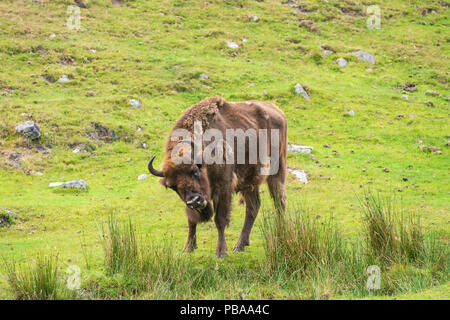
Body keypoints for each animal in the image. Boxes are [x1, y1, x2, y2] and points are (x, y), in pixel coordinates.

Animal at [149, 97, 286, 258]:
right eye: (172, 186)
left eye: (195, 171)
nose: (194, 201)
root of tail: (278, 111)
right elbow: (191, 220)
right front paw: (188, 248)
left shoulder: (224, 187)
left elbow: (220, 219)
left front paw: (221, 252)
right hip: (249, 181)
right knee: (253, 206)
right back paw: (240, 245)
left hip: (277, 170)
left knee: (279, 201)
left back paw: (280, 233)